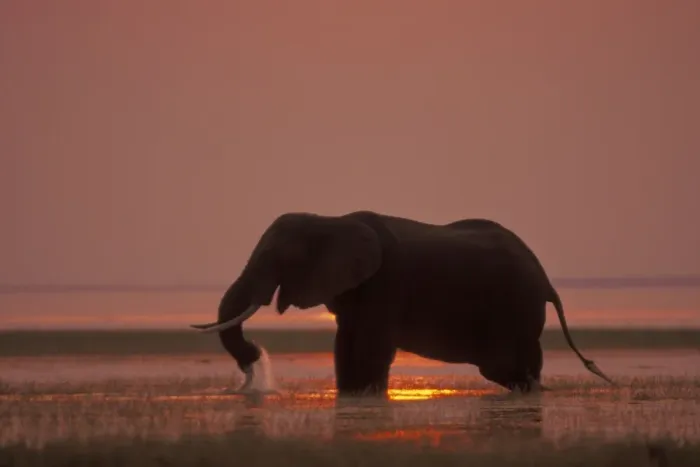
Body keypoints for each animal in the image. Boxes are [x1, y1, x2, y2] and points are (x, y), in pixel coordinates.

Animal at [191, 210, 614, 397]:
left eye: (279, 258)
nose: (252, 362)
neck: (330, 219)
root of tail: (548, 282)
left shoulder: (385, 283)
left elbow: (369, 348)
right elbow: (345, 345)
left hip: (517, 307)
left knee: (509, 365)